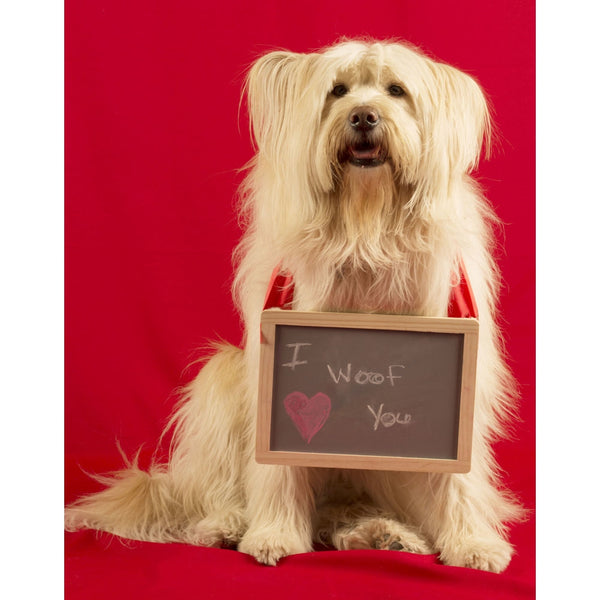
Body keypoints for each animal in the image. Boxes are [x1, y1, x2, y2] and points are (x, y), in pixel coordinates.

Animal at [65, 39, 524, 576]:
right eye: (338, 91)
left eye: (396, 90)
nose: (363, 116)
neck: (366, 229)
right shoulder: (276, 373)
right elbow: (278, 466)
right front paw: (275, 534)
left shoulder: (458, 374)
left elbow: (459, 477)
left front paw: (472, 542)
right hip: (221, 380)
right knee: (221, 493)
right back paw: (227, 525)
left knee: (343, 511)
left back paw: (383, 533)